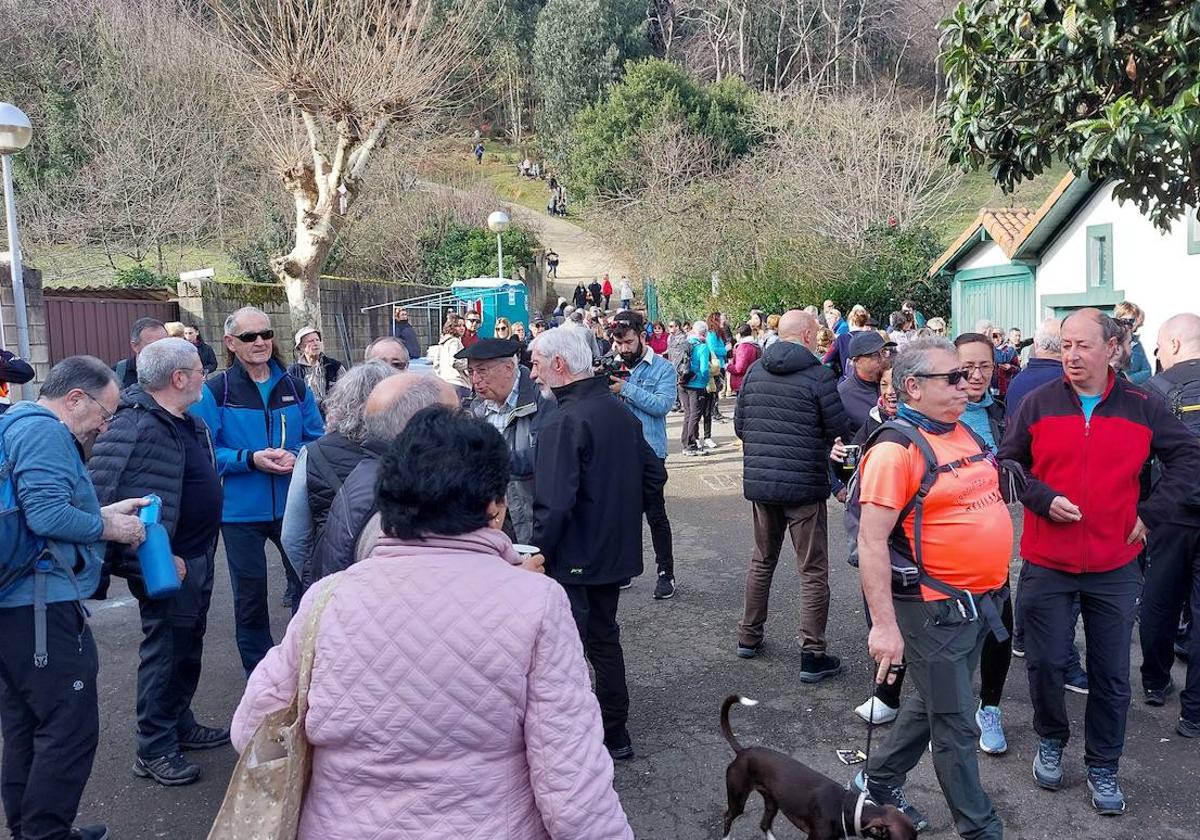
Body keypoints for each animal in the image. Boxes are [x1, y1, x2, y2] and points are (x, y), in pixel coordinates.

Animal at [720, 696, 916, 840]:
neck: (846, 808)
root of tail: (742, 751)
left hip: (772, 801)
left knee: (764, 824)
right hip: (738, 798)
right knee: (728, 817)